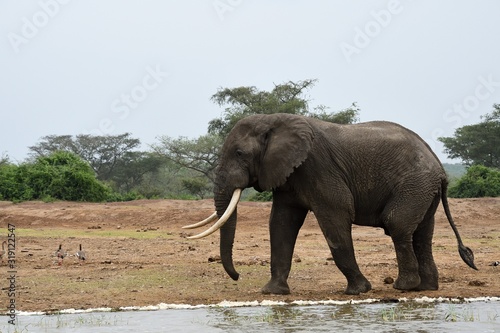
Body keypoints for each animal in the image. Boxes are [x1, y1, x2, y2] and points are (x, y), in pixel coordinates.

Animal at [185, 113, 476, 294]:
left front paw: (358, 291)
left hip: (415, 184)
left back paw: (403, 287)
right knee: (423, 233)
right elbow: (281, 223)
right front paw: (273, 292)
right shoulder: (289, 173)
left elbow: (335, 217)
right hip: (424, 189)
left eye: (240, 153)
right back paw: (426, 288)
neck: (274, 120)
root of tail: (439, 167)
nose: (237, 277)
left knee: (398, 225)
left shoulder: (317, 167)